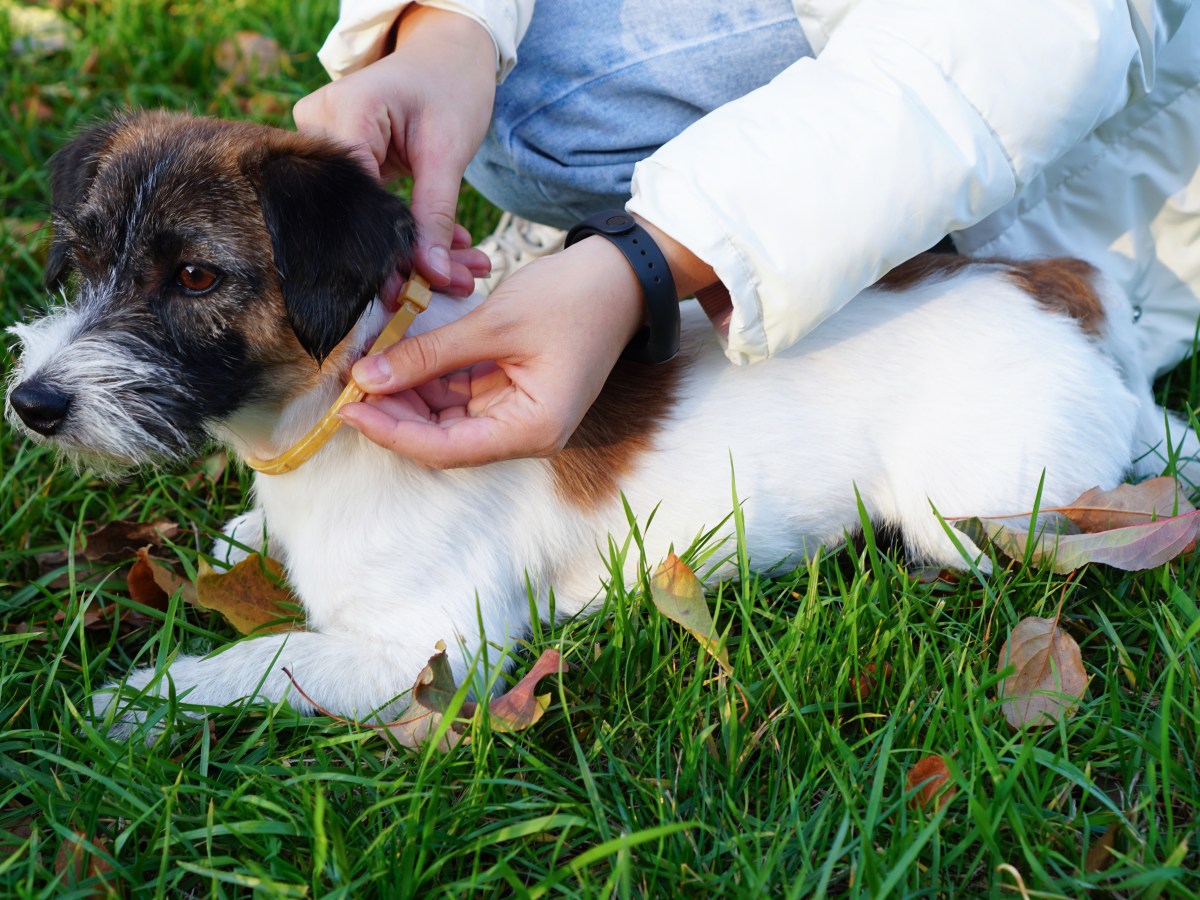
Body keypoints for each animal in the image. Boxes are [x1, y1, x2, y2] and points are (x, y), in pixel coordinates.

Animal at [9, 111, 1200, 734]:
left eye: (197, 275)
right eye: (85, 254)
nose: (33, 404)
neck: (321, 412)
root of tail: (1073, 302)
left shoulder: (430, 649)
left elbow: (262, 662)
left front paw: (144, 700)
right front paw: (239, 541)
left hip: (973, 507)